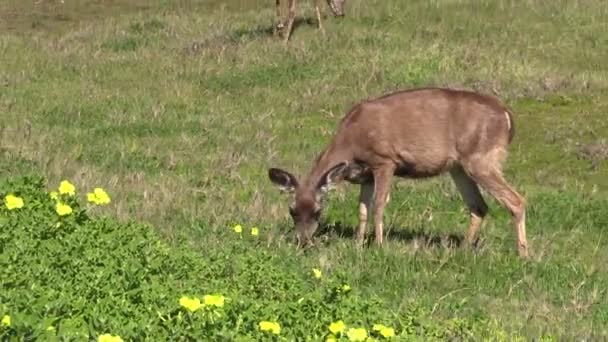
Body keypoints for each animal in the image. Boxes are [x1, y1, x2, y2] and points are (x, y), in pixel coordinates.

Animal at [268, 87, 528, 258]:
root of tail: (507, 116)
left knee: (516, 200)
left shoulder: (385, 161)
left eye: (318, 211)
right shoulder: (365, 175)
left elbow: (379, 205)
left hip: (481, 158)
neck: (351, 142)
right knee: (478, 206)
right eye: (292, 210)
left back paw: (522, 254)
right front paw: (358, 244)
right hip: (459, 166)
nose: (303, 242)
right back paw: (462, 250)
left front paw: (379, 246)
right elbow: (362, 209)